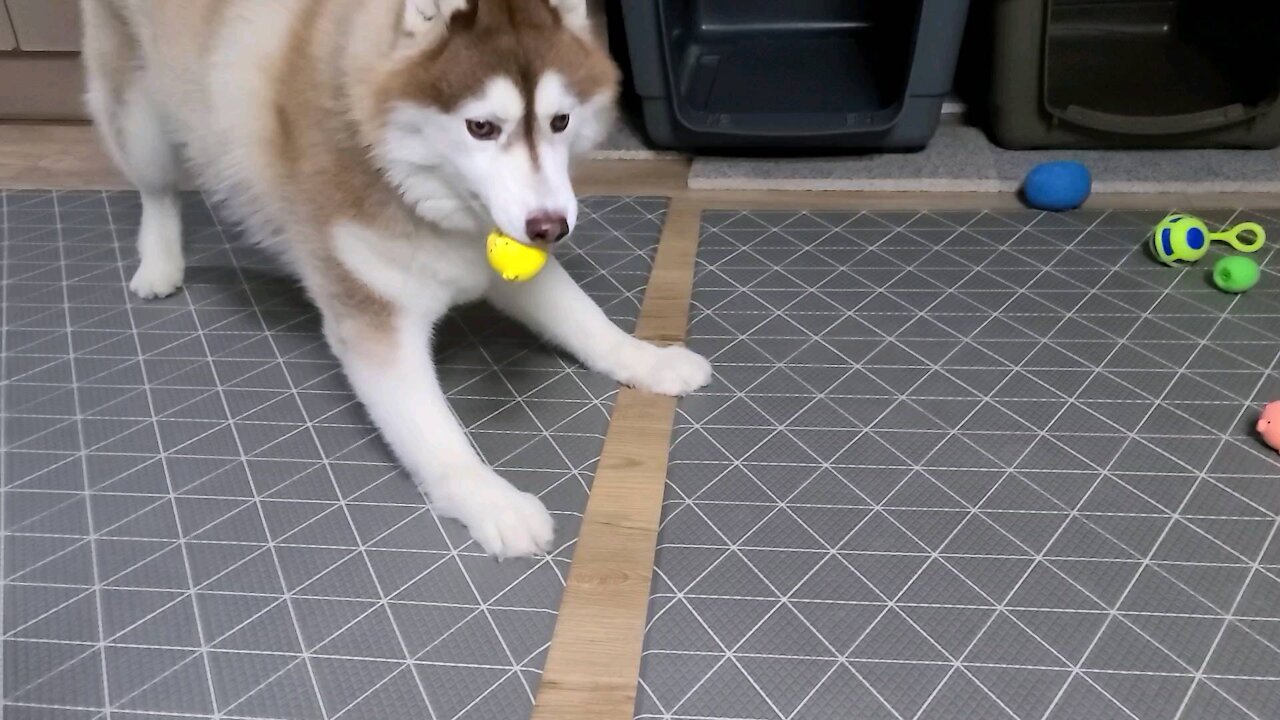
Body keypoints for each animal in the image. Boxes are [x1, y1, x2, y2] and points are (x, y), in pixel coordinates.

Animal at [82, 0, 711, 558]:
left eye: (561, 121)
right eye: (481, 126)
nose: (551, 227)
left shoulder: (502, 250)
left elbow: (586, 321)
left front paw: (647, 359)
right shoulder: (374, 319)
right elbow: (436, 434)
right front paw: (493, 501)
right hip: (141, 117)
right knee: (157, 188)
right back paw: (159, 261)